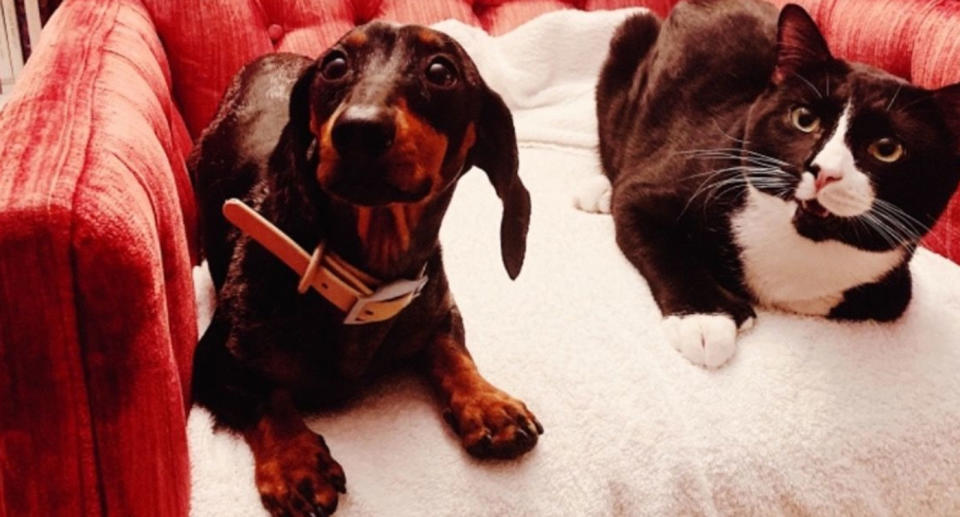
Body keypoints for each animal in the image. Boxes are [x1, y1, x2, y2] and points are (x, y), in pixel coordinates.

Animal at [188, 22, 540, 512]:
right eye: (335, 65)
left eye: (441, 71)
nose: (359, 130)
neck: (362, 282)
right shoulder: (212, 361)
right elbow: (266, 397)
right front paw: (297, 463)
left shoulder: (439, 309)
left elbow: (452, 351)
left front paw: (489, 404)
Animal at [584, 2, 960, 368]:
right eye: (804, 119)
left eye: (887, 149)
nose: (823, 171)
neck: (802, 240)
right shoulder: (653, 187)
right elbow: (656, 239)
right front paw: (706, 320)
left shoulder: (893, 282)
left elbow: (885, 298)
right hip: (630, 40)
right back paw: (599, 189)